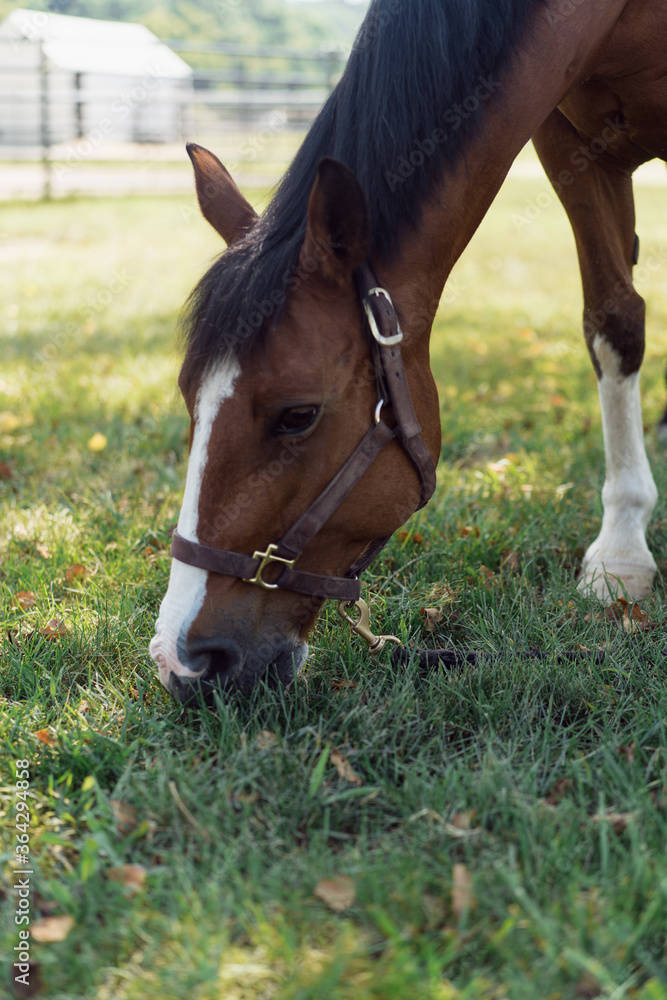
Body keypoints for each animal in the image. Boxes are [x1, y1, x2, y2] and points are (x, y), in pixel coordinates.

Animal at [150, 0, 667, 703]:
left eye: (297, 415)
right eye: (189, 398)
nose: (182, 662)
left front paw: (622, 551)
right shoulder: (571, 144)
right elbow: (612, 319)